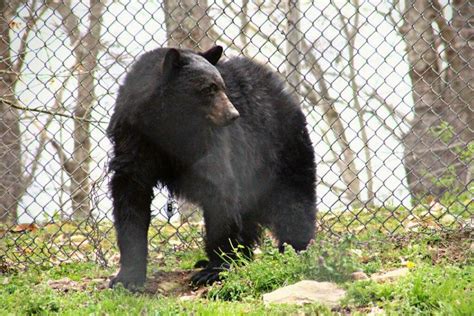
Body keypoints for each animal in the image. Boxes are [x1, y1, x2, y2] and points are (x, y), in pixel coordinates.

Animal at [107, 45, 314, 290]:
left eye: (222, 86)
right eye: (208, 89)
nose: (233, 115)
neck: (169, 126)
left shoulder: (210, 141)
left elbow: (219, 190)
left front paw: (215, 269)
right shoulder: (134, 139)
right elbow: (130, 196)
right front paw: (127, 277)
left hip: (281, 147)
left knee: (294, 201)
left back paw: (295, 249)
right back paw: (242, 256)